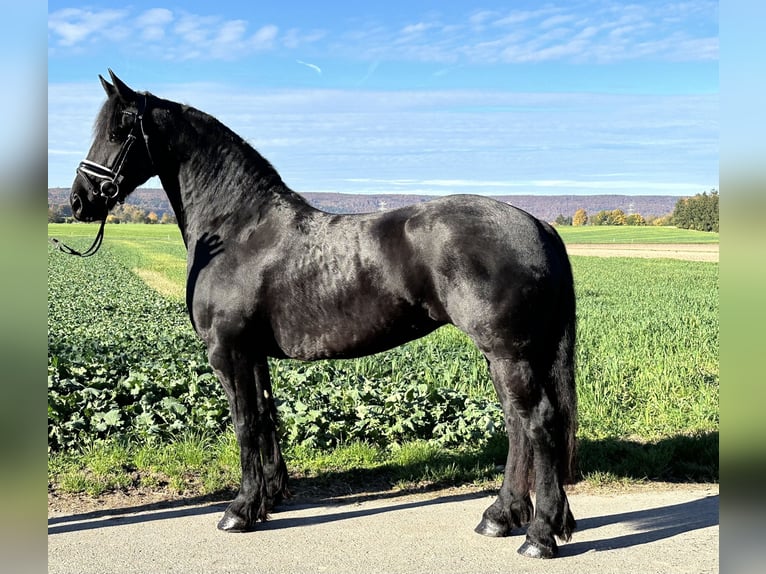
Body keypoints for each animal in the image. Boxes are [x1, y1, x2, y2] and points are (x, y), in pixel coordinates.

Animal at [69, 70, 580, 560]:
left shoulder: (228, 352)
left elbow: (245, 424)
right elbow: (266, 417)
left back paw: (538, 535)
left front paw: (239, 511)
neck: (238, 230)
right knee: (517, 426)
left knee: (539, 424)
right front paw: (270, 498)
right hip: (503, 355)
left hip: (510, 353)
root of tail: (539, 224)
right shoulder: (253, 355)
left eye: (118, 130)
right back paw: (500, 515)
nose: (79, 199)